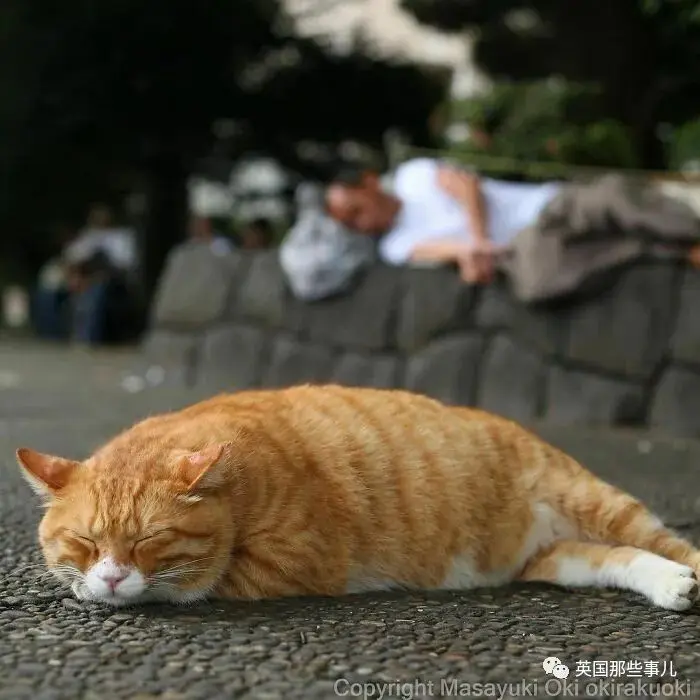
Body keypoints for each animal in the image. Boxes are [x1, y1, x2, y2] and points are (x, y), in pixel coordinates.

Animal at [15, 386, 700, 608]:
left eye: (150, 540)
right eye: (84, 540)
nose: (109, 576)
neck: (243, 481)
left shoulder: (292, 562)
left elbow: (195, 582)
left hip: (598, 502)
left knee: (668, 542)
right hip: (557, 560)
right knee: (618, 560)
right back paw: (670, 587)